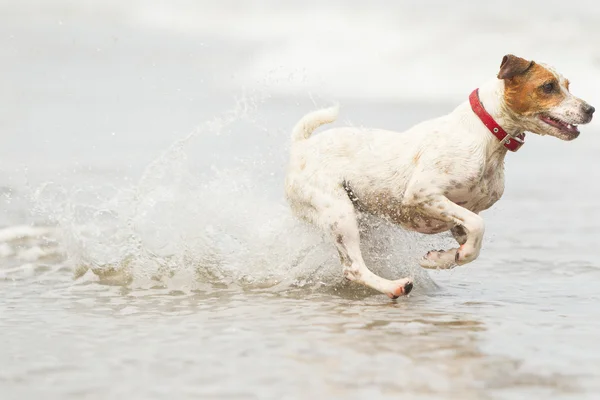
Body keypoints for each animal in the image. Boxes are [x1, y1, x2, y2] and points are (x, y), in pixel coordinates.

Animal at [286, 53, 596, 298]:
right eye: (548, 86)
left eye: (568, 85)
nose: (591, 109)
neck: (486, 137)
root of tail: (300, 148)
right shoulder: (423, 193)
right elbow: (478, 230)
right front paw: (449, 257)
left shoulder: (460, 216)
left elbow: (472, 245)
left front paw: (439, 260)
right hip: (340, 215)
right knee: (353, 268)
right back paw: (393, 287)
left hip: (361, 219)